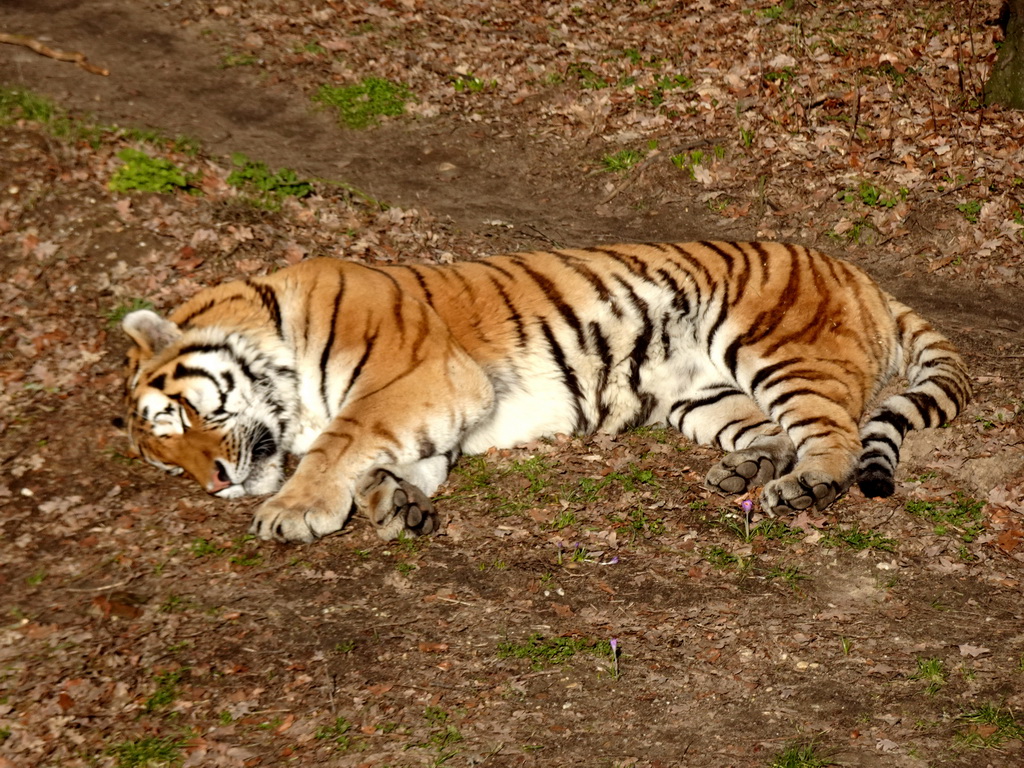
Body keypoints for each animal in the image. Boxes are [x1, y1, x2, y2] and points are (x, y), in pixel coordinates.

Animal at [119, 243, 966, 544]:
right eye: (168, 459)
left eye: (178, 417)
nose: (215, 484)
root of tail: (855, 270)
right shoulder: (432, 424)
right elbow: (379, 464)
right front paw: (398, 509)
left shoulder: (420, 378)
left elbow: (344, 441)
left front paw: (292, 511)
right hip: (698, 395)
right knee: (772, 431)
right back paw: (746, 474)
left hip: (774, 348)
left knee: (836, 437)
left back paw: (801, 490)